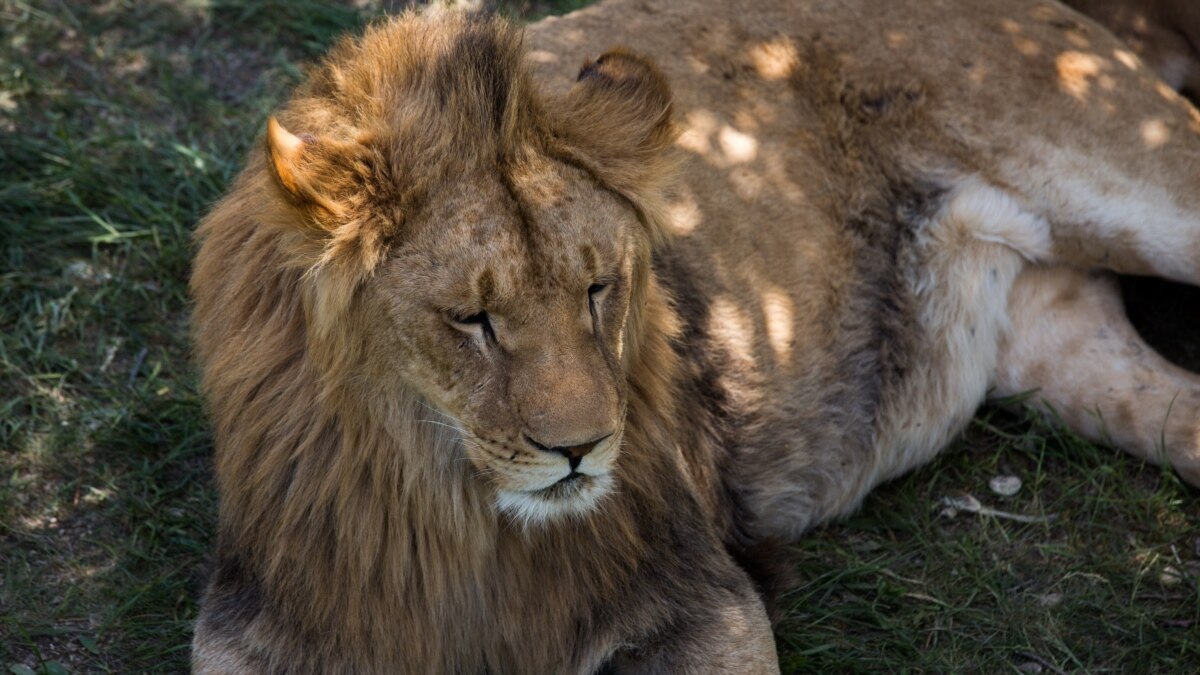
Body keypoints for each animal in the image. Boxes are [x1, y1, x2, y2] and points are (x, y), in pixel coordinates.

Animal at [192, 1, 1200, 667]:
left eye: (600, 289)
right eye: (472, 320)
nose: (581, 450)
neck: (453, 517)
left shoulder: (703, 601)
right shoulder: (260, 628)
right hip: (1067, 360)